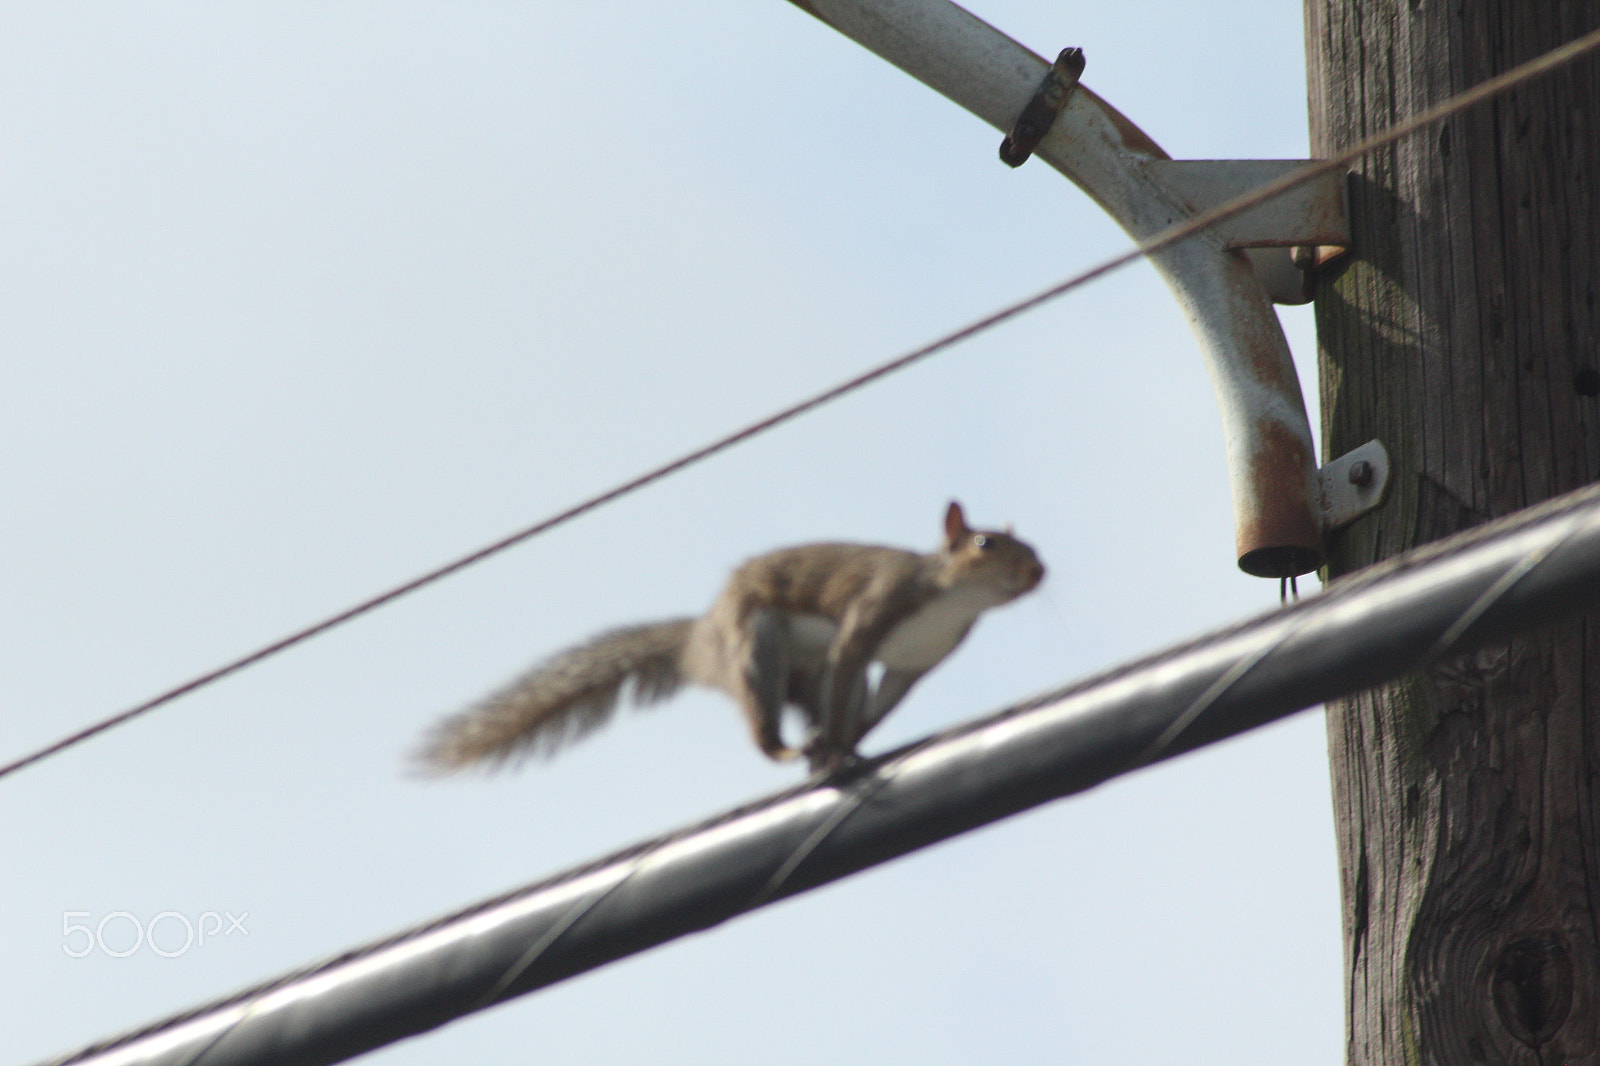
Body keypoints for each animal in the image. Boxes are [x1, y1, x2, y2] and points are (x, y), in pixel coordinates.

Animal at [414, 502, 1045, 774]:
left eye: (1031, 545)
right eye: (985, 543)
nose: (1039, 573)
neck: (952, 599)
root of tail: (702, 638)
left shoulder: (916, 661)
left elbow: (882, 700)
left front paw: (854, 741)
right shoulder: (874, 610)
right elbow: (851, 657)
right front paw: (839, 746)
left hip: (802, 671)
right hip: (755, 646)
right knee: (763, 721)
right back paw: (793, 747)